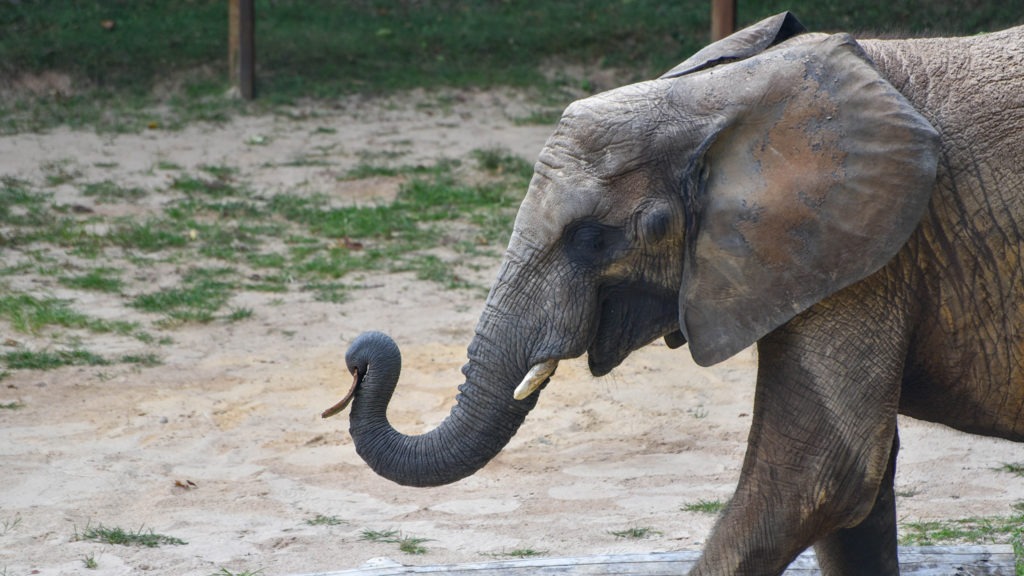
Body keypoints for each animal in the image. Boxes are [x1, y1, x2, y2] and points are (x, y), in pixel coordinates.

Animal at [321, 13, 1024, 573]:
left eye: (591, 240)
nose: (360, 360)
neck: (730, 101)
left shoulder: (870, 247)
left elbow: (817, 479)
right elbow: (856, 499)